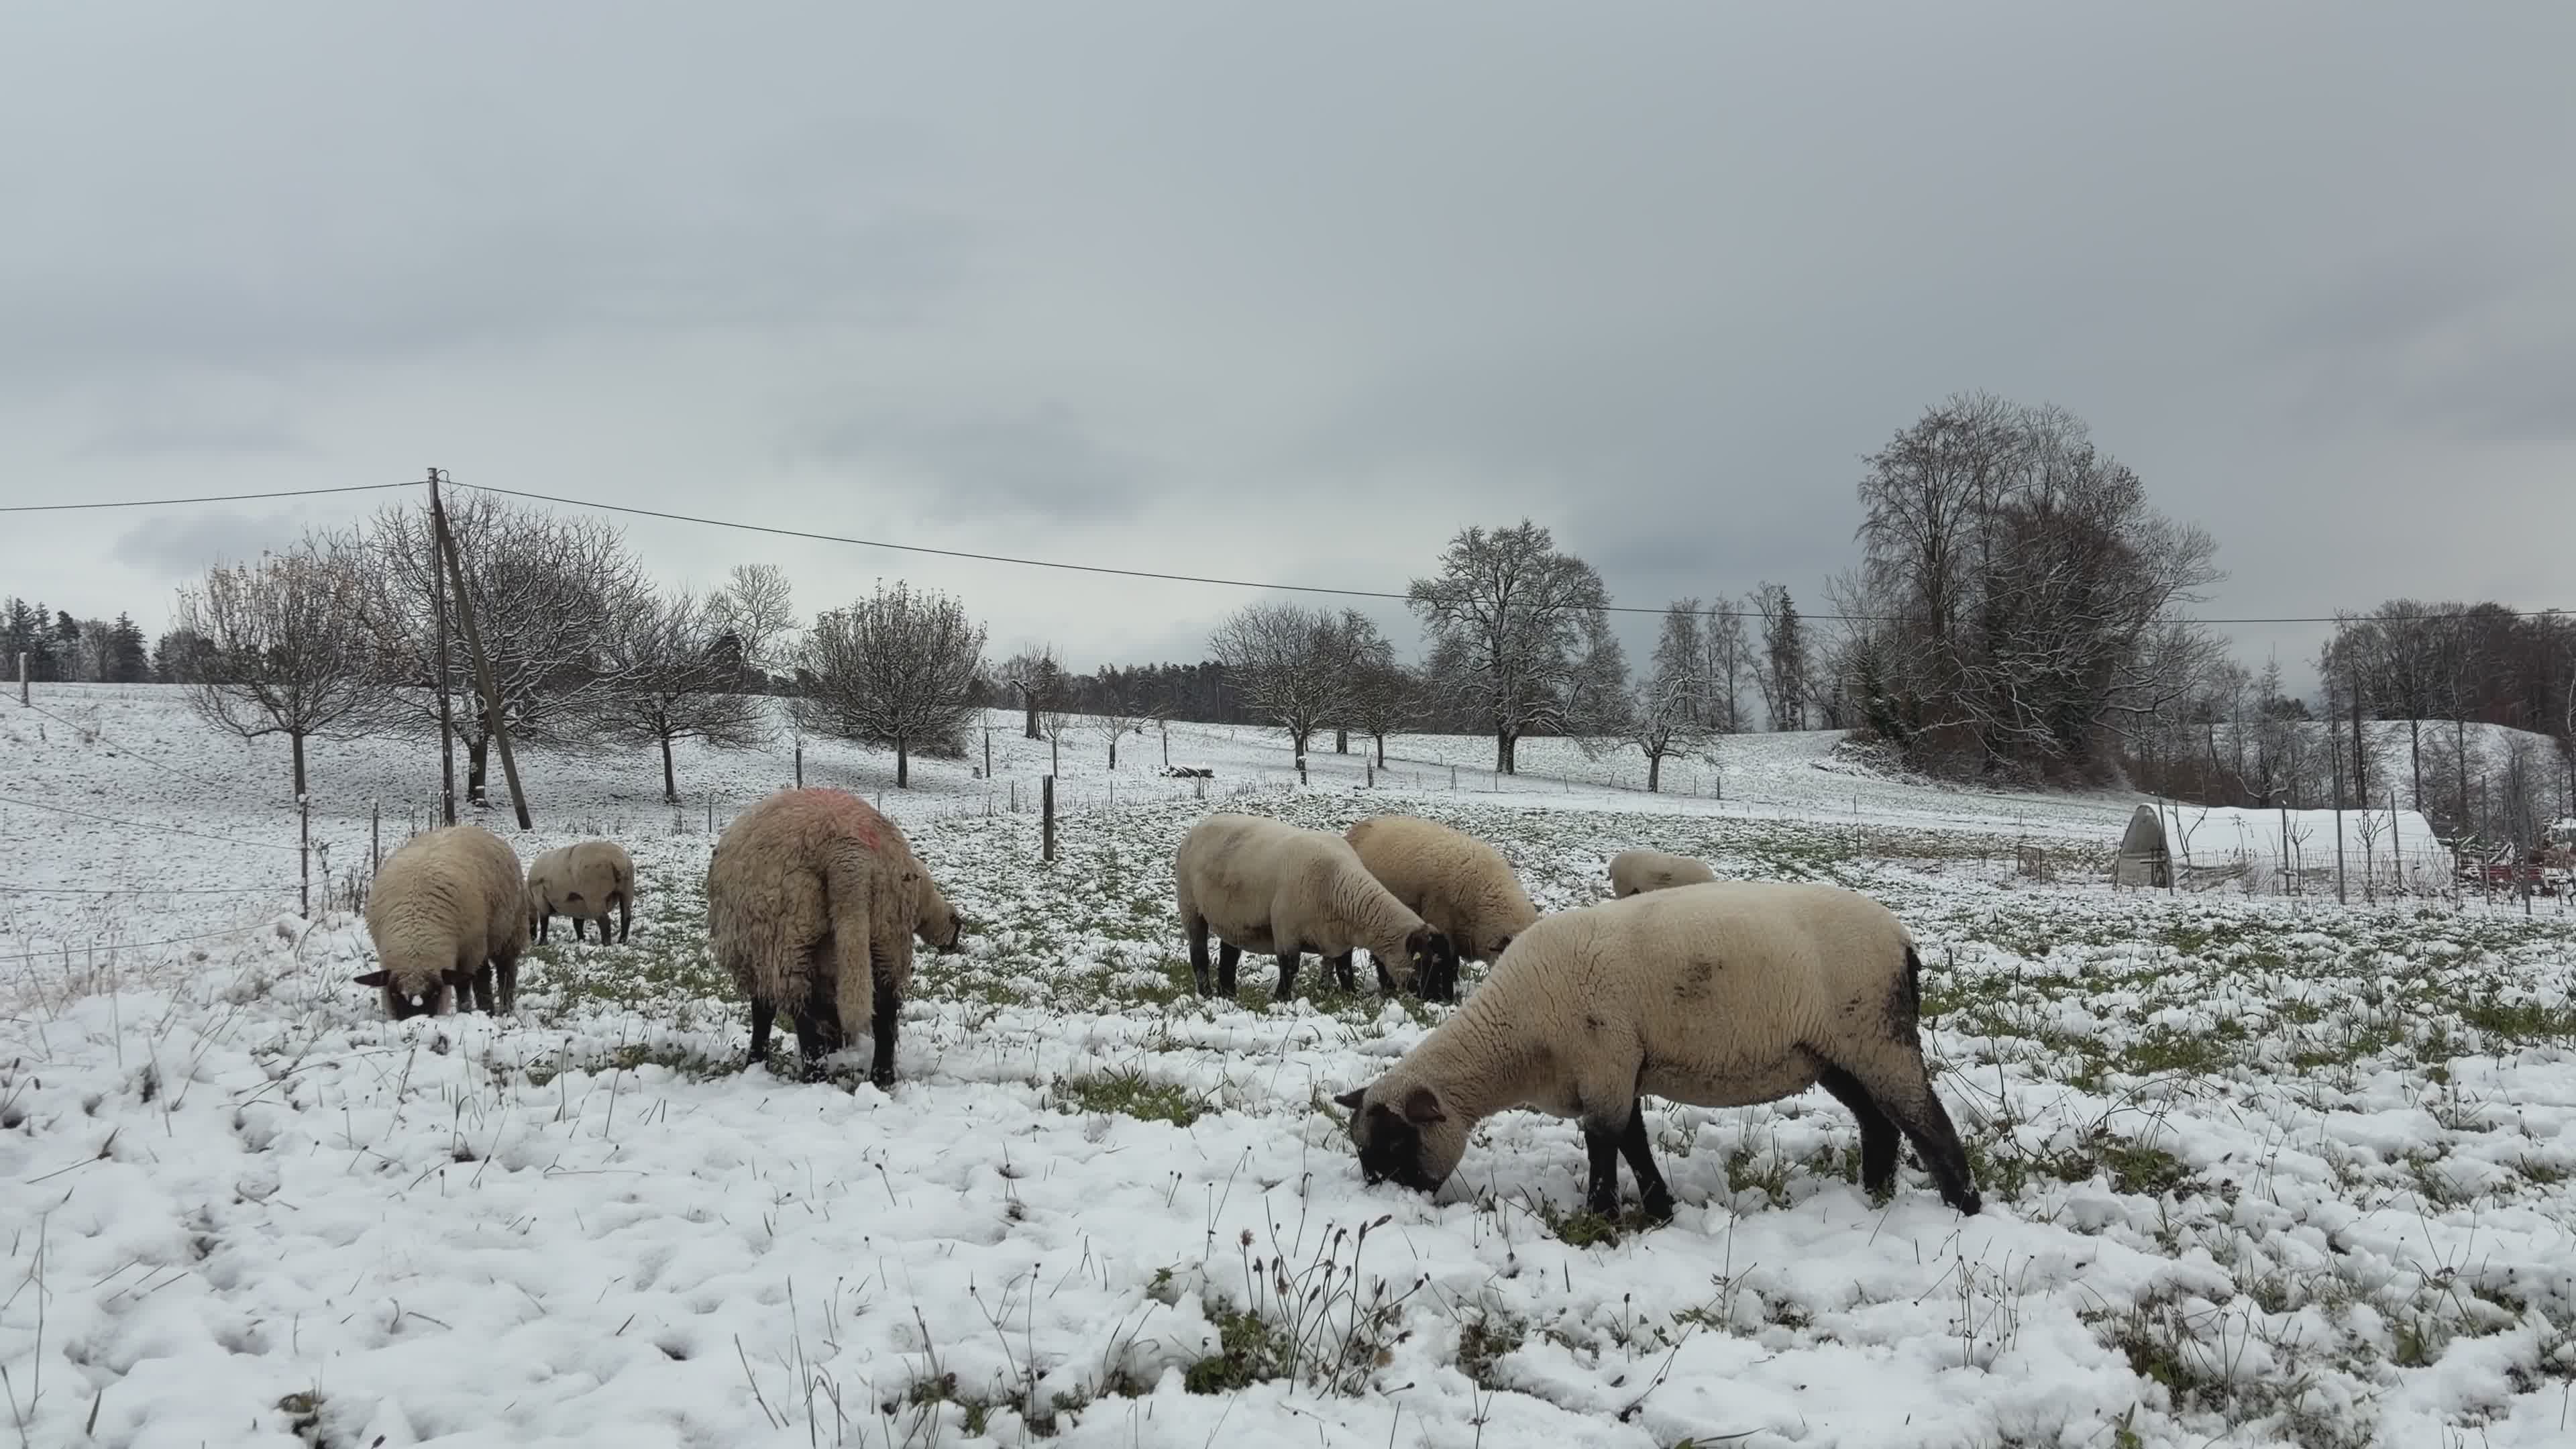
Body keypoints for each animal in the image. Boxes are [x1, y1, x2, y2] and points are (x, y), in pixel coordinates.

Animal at [354, 824, 529, 1020]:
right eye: (395, 995)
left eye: (436, 994)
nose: (416, 1020)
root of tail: (467, 826)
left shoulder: (468, 953)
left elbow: (463, 987)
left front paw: (465, 1012)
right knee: (484, 974)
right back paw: (488, 1010)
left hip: (509, 934)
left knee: (505, 973)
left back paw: (505, 1010)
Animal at [525, 839, 637, 944]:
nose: (532, 938)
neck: (530, 898)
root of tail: (619, 862)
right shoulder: (578, 906)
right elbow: (577, 924)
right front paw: (581, 940)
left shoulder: (540, 898)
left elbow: (544, 922)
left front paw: (542, 943)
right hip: (627, 892)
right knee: (626, 917)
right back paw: (621, 941)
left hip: (595, 897)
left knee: (605, 922)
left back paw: (606, 944)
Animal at [707, 787, 944, 1086]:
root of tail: (847, 849)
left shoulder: (760, 959)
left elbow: (763, 1013)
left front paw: (756, 1063)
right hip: (887, 934)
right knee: (885, 1012)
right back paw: (881, 1077)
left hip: (791, 939)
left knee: (806, 1019)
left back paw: (814, 1077)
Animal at [1173, 813, 1458, 1002]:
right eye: (1431, 963)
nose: (1440, 1000)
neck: (1338, 884)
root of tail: (1197, 828)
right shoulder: (1286, 930)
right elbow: (1289, 967)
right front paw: (1282, 999)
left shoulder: (1339, 939)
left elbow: (1344, 968)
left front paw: (1351, 995)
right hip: (1190, 906)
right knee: (1199, 954)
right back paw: (1207, 994)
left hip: (1231, 916)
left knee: (1229, 955)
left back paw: (1228, 994)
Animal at [1332, 879, 1980, 1220]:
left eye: (1396, 1143)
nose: (1386, 1206)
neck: (1516, 1038)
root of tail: (1903, 942)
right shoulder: (1620, 1070)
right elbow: (1633, 1143)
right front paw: (1659, 1207)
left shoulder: (1605, 1063)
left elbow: (1603, 1145)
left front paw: (1600, 1214)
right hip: (1836, 1053)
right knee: (1881, 1123)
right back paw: (1875, 1195)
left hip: (1876, 1035)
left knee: (1926, 1120)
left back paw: (1965, 1206)